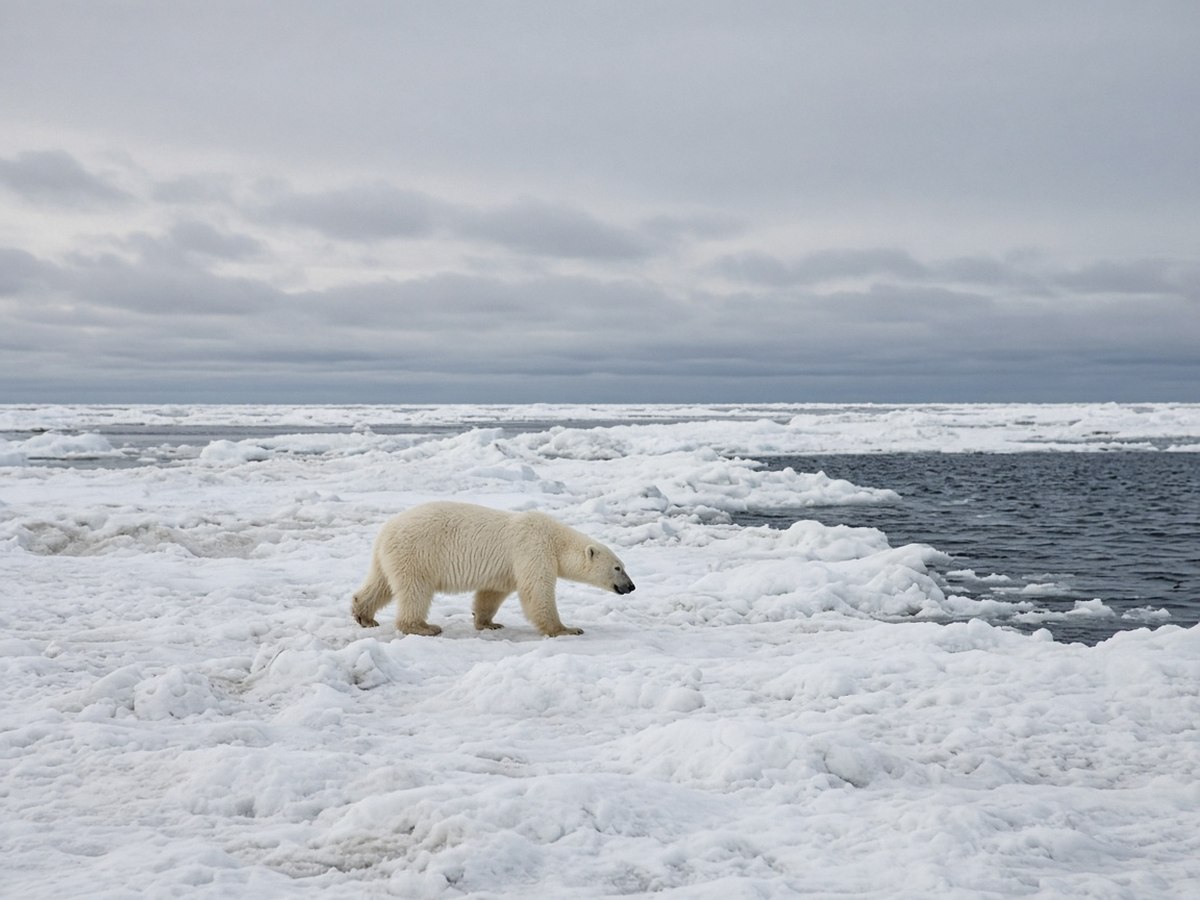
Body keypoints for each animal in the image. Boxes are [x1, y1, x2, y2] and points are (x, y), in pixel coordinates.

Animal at [351, 501, 635, 637]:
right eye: (618, 567)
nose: (631, 586)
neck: (555, 539)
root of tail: (386, 530)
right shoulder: (533, 550)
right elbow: (537, 591)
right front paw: (567, 629)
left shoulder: (507, 568)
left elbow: (492, 592)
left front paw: (488, 623)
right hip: (418, 553)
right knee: (415, 590)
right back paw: (423, 627)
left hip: (390, 556)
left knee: (380, 584)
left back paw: (363, 615)